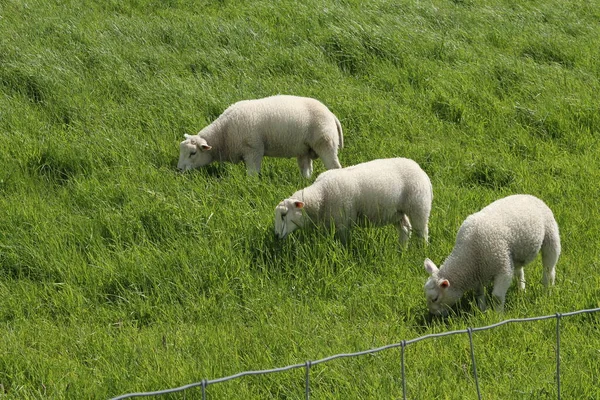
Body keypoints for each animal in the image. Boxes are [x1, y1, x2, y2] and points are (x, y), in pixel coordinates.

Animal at [176, 94, 342, 177]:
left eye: (193, 153)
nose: (178, 170)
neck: (223, 133)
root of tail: (332, 115)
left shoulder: (253, 150)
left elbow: (252, 174)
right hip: (304, 150)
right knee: (306, 170)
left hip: (325, 143)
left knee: (334, 167)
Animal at [274, 158, 434, 245]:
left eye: (284, 215)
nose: (275, 236)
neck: (321, 195)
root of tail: (421, 171)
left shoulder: (343, 222)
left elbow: (343, 243)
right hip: (396, 212)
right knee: (405, 229)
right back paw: (401, 249)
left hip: (419, 206)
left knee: (422, 231)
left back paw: (421, 250)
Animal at [424, 194, 560, 316]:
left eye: (435, 299)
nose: (434, 315)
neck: (469, 256)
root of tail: (530, 196)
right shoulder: (479, 272)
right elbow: (479, 293)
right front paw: (482, 310)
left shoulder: (502, 267)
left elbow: (497, 297)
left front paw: (498, 316)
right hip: (514, 255)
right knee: (519, 271)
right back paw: (521, 290)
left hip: (551, 236)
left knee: (549, 270)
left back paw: (547, 291)